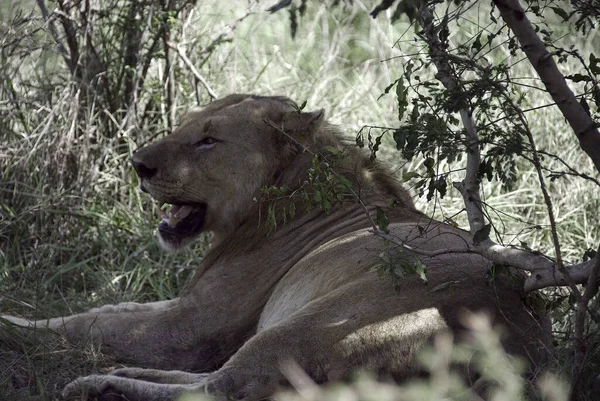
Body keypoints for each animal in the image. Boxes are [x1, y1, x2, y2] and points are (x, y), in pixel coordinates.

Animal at [2, 94, 552, 400]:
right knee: (213, 380)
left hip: (318, 323)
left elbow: (87, 325)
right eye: (184, 125)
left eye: (208, 140)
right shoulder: (183, 313)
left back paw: (97, 386)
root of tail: (519, 349)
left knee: (223, 388)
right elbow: (108, 310)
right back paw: (117, 375)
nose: (138, 164)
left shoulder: (190, 328)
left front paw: (11, 326)